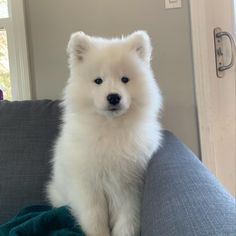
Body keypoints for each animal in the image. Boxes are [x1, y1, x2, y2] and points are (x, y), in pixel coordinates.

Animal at [47, 31, 163, 236]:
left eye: (125, 79)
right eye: (98, 81)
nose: (114, 97)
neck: (110, 128)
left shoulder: (130, 188)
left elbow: (127, 220)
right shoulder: (88, 187)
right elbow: (94, 219)